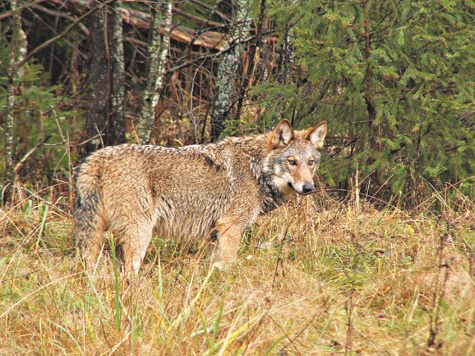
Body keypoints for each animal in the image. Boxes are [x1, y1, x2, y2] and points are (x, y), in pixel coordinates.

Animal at [74, 119, 328, 272]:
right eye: (292, 162)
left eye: (310, 162)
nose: (308, 188)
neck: (255, 169)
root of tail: (97, 157)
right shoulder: (230, 228)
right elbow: (228, 266)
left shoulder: (213, 235)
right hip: (140, 232)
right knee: (129, 270)